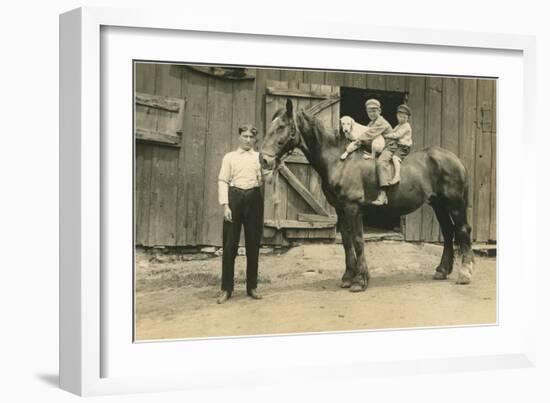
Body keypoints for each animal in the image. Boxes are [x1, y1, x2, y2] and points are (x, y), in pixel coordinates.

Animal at [260, 99, 474, 292]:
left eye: (281, 127)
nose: (264, 160)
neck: (339, 160)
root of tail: (456, 159)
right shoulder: (341, 210)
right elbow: (346, 241)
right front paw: (347, 277)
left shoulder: (353, 208)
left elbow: (357, 240)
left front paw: (360, 281)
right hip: (438, 205)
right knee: (448, 232)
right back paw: (442, 270)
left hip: (455, 204)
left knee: (462, 230)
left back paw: (465, 273)